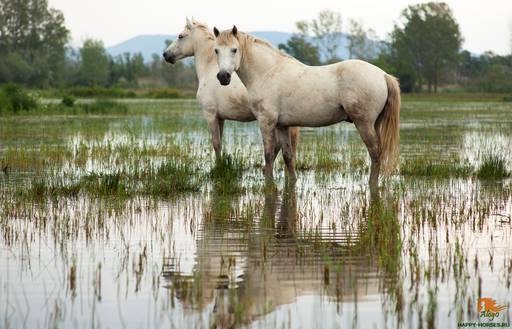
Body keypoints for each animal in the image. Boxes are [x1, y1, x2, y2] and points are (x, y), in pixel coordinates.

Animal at [164, 18, 300, 165]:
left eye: (180, 36)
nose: (165, 54)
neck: (209, 67)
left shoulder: (210, 114)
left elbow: (216, 144)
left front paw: (218, 166)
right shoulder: (220, 118)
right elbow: (220, 142)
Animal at [212, 26, 400, 186]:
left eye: (234, 50)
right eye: (216, 50)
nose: (223, 77)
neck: (268, 72)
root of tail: (383, 75)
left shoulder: (266, 121)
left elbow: (268, 154)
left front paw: (269, 184)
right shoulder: (282, 125)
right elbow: (287, 156)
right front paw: (292, 182)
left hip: (364, 123)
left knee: (375, 152)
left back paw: (372, 184)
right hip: (374, 124)